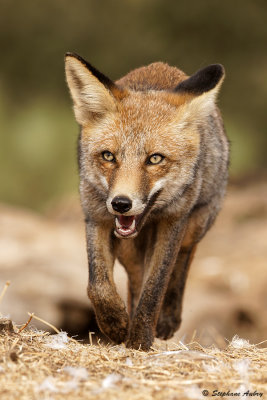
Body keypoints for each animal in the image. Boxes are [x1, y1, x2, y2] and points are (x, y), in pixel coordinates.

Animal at [65, 53, 230, 350]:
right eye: (108, 156)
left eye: (155, 159)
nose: (121, 203)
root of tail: (161, 65)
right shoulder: (96, 215)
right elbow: (98, 285)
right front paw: (116, 323)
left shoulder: (173, 222)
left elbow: (155, 288)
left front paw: (140, 341)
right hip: (129, 250)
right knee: (135, 278)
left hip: (195, 225)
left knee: (184, 260)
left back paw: (168, 318)